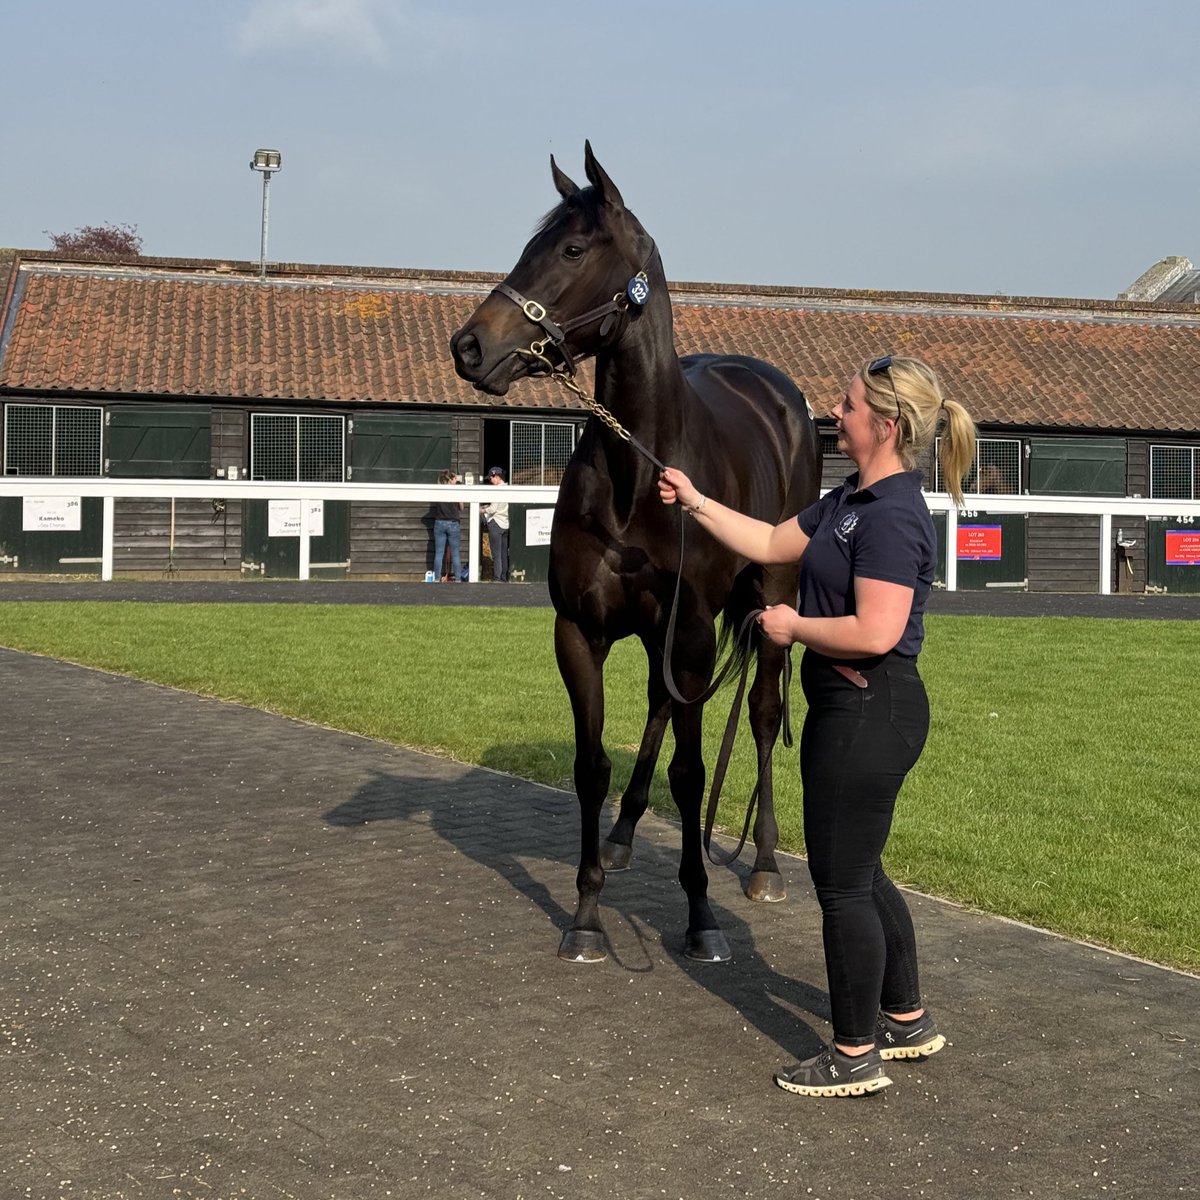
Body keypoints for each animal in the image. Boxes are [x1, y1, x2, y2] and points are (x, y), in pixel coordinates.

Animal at [451, 142, 825, 964]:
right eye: (531, 244)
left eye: (571, 249)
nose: (470, 346)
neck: (639, 473)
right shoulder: (581, 632)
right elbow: (591, 766)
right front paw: (588, 914)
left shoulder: (688, 633)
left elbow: (692, 773)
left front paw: (702, 915)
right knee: (658, 708)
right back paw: (623, 835)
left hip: (773, 600)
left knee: (760, 713)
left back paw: (765, 863)